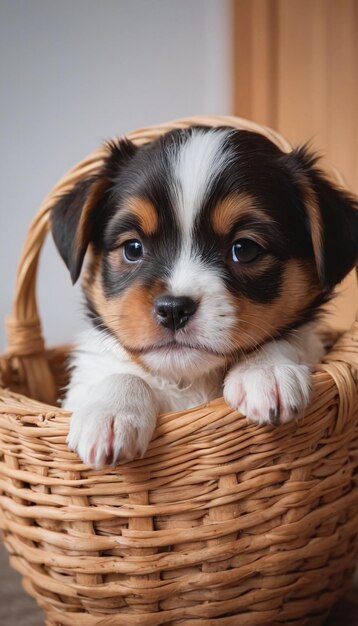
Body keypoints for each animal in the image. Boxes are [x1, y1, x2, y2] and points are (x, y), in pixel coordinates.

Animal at [51, 124, 358, 466]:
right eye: (133, 248)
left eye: (244, 249)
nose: (173, 309)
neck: (189, 380)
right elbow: (124, 374)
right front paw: (111, 411)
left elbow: (287, 338)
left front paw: (265, 371)